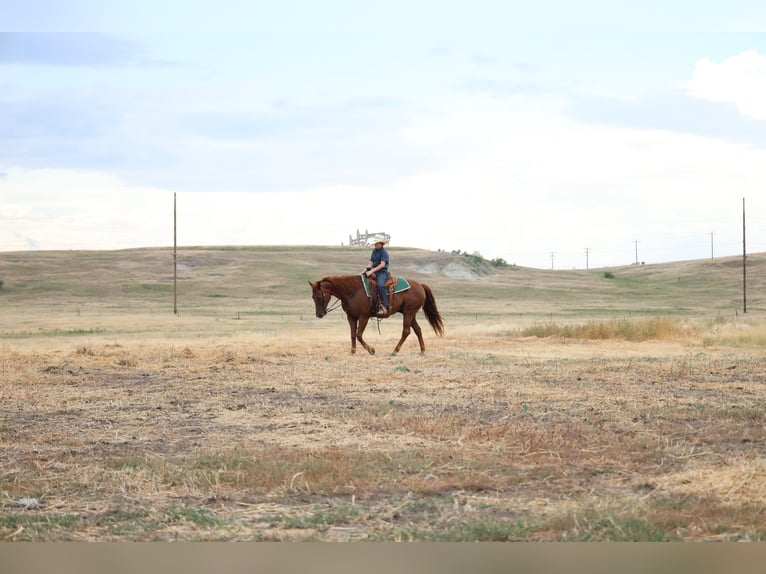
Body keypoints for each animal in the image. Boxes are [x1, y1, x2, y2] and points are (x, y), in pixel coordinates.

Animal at [309, 274, 444, 355]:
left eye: (320, 296)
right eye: (313, 297)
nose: (319, 314)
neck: (352, 291)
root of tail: (420, 285)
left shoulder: (364, 316)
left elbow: (358, 335)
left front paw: (371, 350)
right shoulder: (351, 317)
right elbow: (352, 334)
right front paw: (353, 351)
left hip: (409, 313)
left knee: (406, 331)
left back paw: (395, 350)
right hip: (410, 314)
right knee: (418, 330)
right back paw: (422, 350)